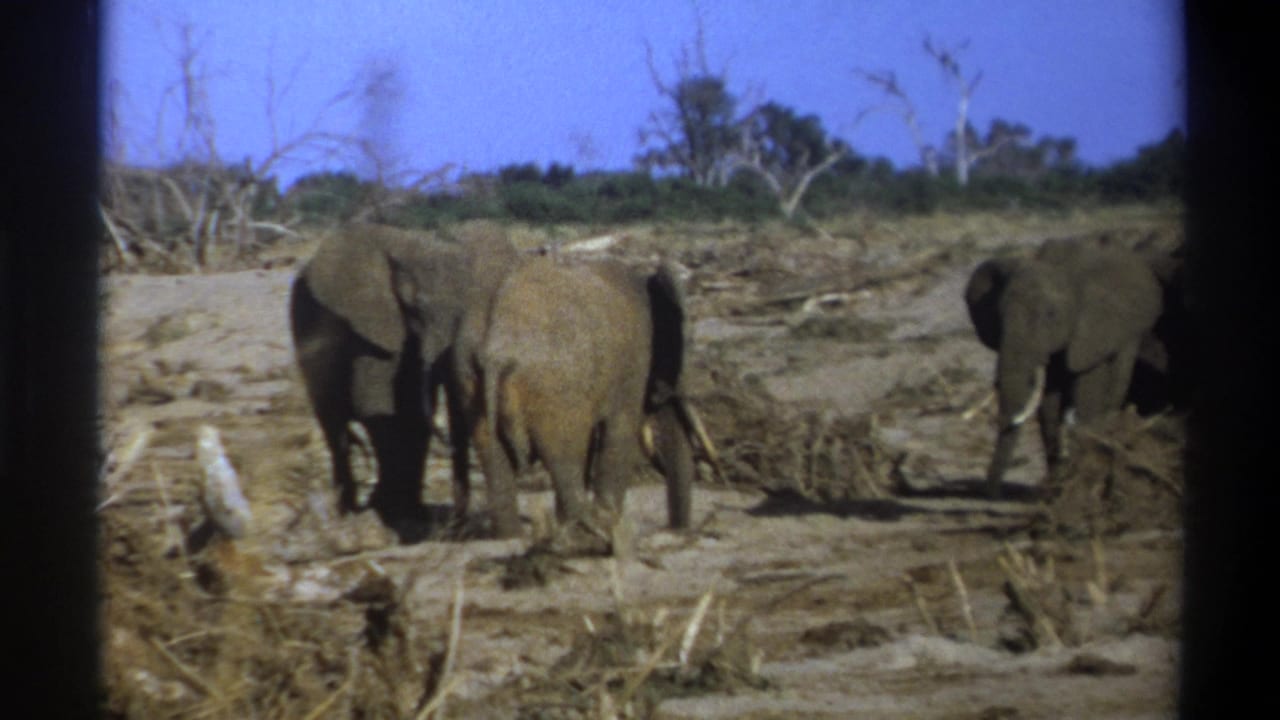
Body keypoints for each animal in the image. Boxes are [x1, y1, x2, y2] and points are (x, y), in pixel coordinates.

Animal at [288, 222, 519, 537]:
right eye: (417, 308)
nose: (458, 522)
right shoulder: (372, 325)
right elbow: (379, 406)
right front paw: (388, 511)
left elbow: (412, 414)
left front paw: (407, 513)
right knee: (333, 426)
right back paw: (347, 511)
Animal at [396, 254, 702, 539]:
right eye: (682, 345)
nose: (678, 530)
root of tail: (497, 347)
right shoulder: (633, 362)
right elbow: (619, 432)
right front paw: (609, 522)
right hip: (553, 386)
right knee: (562, 456)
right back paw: (587, 530)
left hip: (469, 375)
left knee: (496, 457)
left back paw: (516, 536)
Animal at [964, 238, 1163, 498]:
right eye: (999, 314)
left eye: (1050, 315)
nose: (991, 493)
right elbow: (1049, 404)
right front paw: (1055, 486)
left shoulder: (1092, 330)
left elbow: (1087, 391)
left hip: (1133, 333)